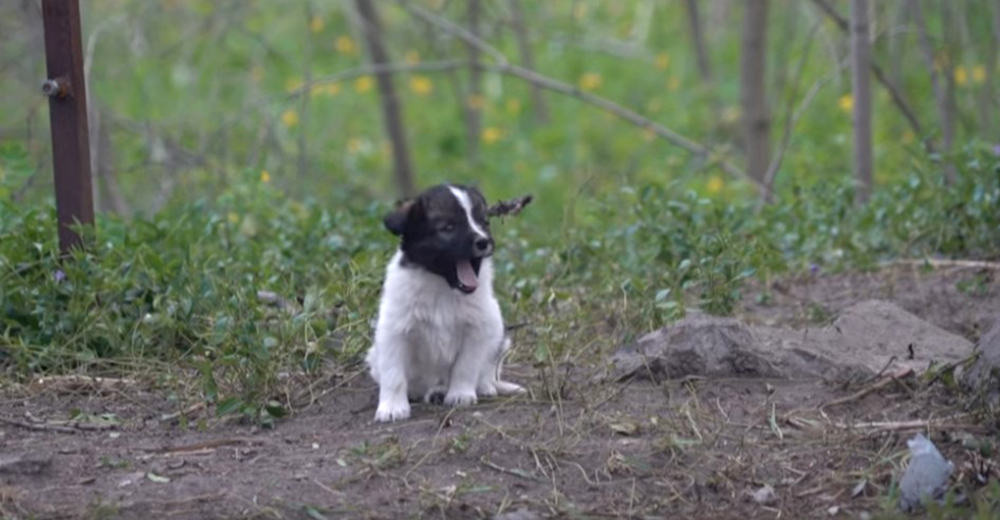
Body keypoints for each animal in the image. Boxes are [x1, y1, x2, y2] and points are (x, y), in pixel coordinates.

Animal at [366, 183, 524, 422]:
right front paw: (392, 407)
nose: (484, 242)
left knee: (487, 370)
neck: (443, 287)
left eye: (484, 223)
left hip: (497, 330)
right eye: (448, 227)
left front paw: (460, 394)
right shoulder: (394, 330)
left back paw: (483, 387)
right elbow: (394, 375)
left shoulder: (477, 328)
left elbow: (465, 366)